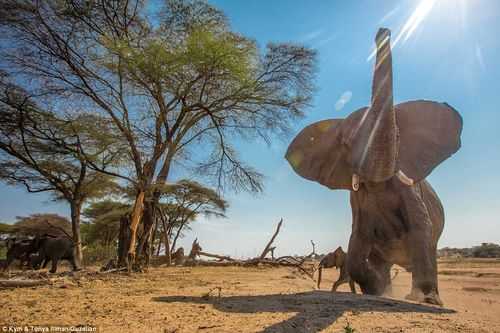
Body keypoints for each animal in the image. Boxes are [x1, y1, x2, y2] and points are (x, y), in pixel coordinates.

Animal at [284, 27, 462, 304]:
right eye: (346, 143)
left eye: (398, 136)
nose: (383, 31)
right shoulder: (356, 200)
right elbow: (357, 241)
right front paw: (376, 289)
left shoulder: (411, 191)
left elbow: (421, 228)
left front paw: (426, 301)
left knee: (429, 248)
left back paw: (422, 297)